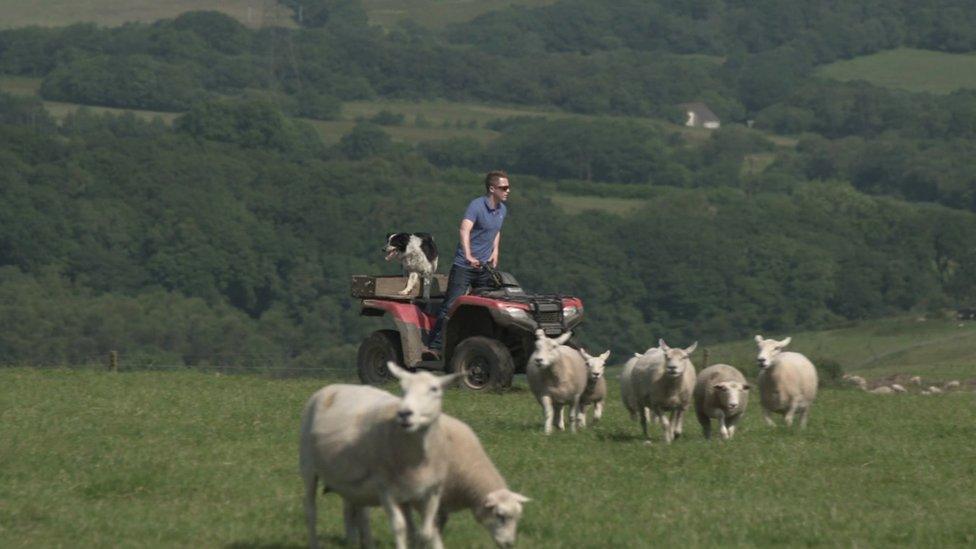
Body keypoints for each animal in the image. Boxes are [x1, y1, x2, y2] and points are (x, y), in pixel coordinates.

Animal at [300, 360, 460, 548]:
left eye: (434, 389)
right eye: (402, 389)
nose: (404, 413)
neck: (417, 456)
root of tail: (331, 387)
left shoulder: (432, 491)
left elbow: (427, 532)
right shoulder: (386, 489)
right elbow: (399, 527)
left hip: (352, 484)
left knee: (355, 514)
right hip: (308, 467)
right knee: (311, 511)